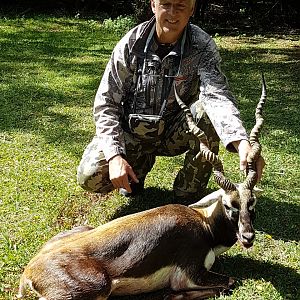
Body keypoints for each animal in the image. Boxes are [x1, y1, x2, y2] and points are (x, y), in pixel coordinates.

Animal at [18, 75, 268, 300]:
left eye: (252, 202)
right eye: (228, 204)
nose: (248, 237)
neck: (205, 225)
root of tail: (30, 270)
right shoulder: (190, 275)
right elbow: (228, 282)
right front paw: (171, 296)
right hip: (98, 289)